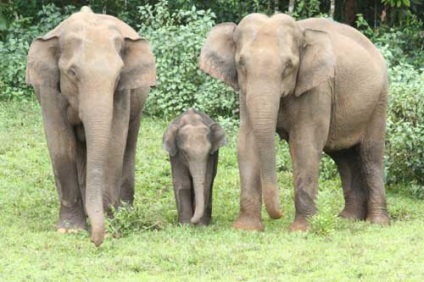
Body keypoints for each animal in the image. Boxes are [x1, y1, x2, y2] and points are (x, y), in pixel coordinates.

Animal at [25, 5, 157, 246]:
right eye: (72, 73)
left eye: (118, 76)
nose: (96, 241)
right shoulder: (49, 91)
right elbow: (60, 144)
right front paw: (70, 230)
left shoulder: (122, 94)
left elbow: (114, 142)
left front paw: (111, 225)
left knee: (129, 143)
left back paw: (125, 212)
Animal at [200, 13, 390, 231]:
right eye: (241, 63)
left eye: (289, 65)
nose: (280, 214)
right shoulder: (245, 92)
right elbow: (247, 143)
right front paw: (246, 228)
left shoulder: (318, 87)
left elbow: (304, 145)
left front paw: (301, 229)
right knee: (344, 156)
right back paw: (348, 219)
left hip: (379, 101)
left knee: (370, 155)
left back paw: (378, 222)